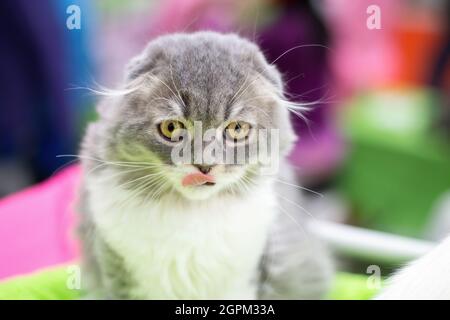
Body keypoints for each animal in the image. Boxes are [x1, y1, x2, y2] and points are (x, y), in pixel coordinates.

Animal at [77, 31, 332, 298]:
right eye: (171, 128)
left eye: (237, 129)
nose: (204, 166)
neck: (192, 214)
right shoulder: (120, 270)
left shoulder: (243, 279)